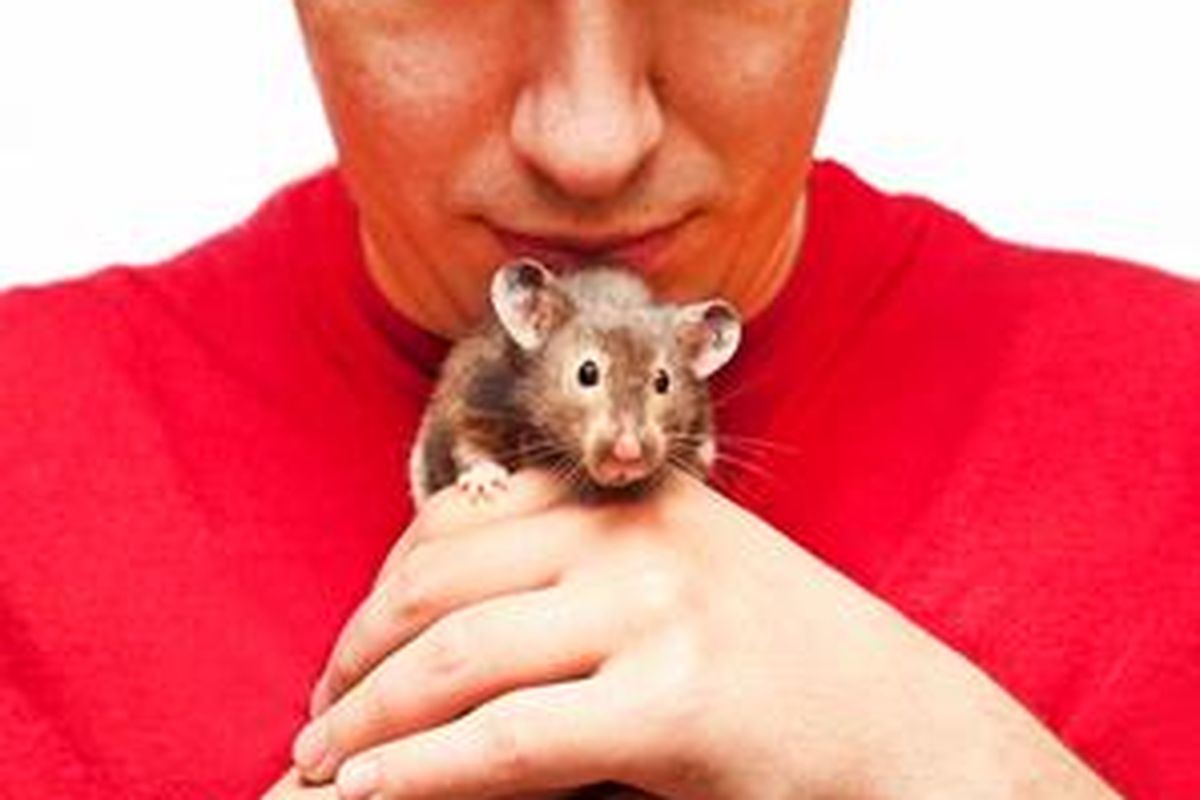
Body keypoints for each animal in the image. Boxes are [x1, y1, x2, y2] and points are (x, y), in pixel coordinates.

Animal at [408, 258, 742, 506]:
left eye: (663, 381)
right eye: (587, 373)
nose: (628, 454)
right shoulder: (474, 399)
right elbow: (468, 444)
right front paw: (485, 486)